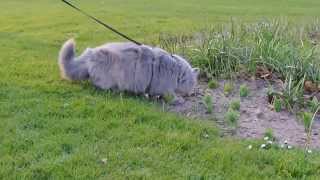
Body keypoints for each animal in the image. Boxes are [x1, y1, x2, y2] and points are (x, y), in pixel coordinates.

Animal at [57, 38, 198, 102]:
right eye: (192, 84)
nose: (191, 93)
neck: (176, 71)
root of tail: (90, 54)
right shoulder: (166, 88)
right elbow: (171, 95)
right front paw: (178, 100)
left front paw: (147, 96)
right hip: (109, 78)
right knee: (100, 85)